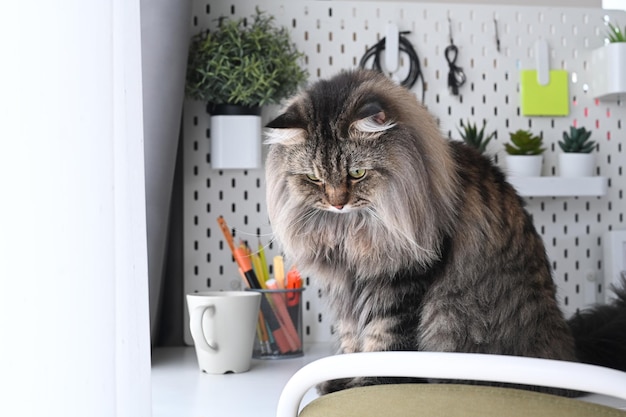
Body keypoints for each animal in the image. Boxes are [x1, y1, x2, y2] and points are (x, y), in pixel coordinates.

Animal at [264, 70, 624, 394]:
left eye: (357, 173)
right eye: (313, 178)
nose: (337, 203)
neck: (351, 233)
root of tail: (569, 352)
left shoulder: (400, 281)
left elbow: (383, 345)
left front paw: (368, 387)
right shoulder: (345, 287)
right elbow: (352, 342)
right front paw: (340, 381)